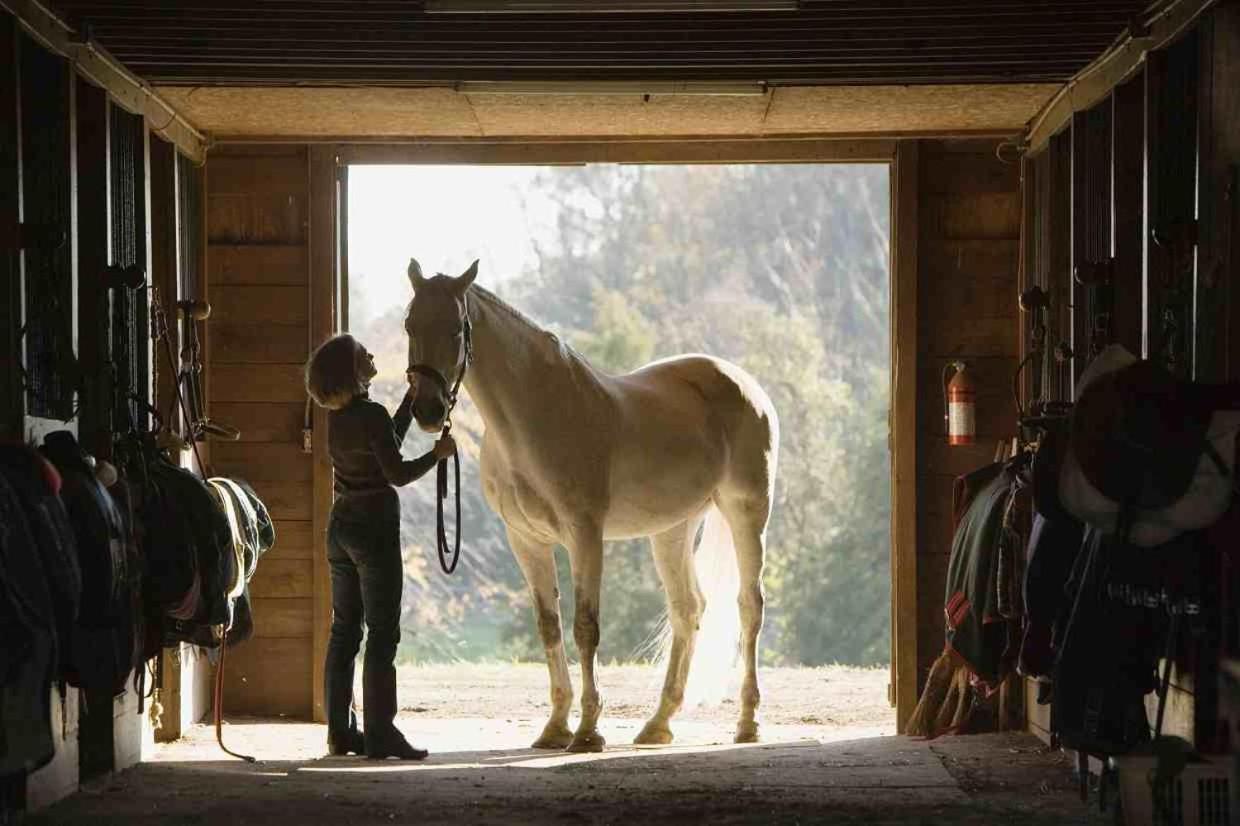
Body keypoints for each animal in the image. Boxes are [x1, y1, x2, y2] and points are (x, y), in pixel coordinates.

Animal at [401, 259, 778, 754]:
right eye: (410, 325)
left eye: (454, 329)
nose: (427, 411)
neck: (533, 417)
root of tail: (747, 385)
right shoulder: (526, 540)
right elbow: (549, 625)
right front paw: (555, 727)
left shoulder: (585, 535)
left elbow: (585, 626)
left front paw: (587, 731)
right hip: (672, 529)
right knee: (687, 609)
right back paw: (658, 724)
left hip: (746, 512)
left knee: (749, 607)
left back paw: (748, 723)